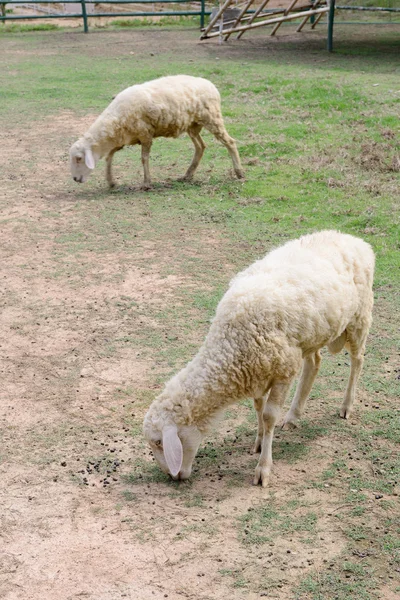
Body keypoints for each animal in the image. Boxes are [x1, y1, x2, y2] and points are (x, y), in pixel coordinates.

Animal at [69, 74, 244, 189]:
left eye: (79, 158)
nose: (75, 179)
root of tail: (210, 84)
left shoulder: (145, 135)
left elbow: (144, 158)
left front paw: (147, 183)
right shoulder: (123, 140)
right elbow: (109, 158)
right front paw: (111, 180)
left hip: (212, 118)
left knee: (230, 142)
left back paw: (239, 173)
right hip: (192, 125)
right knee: (200, 147)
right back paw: (187, 175)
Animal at [143, 231, 376, 488]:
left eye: (159, 443)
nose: (172, 476)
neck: (229, 344)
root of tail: (353, 239)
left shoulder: (283, 371)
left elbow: (269, 416)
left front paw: (263, 467)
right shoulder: (257, 373)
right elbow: (258, 408)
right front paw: (259, 440)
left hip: (359, 317)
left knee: (358, 360)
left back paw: (346, 406)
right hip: (311, 337)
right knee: (314, 363)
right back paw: (293, 415)